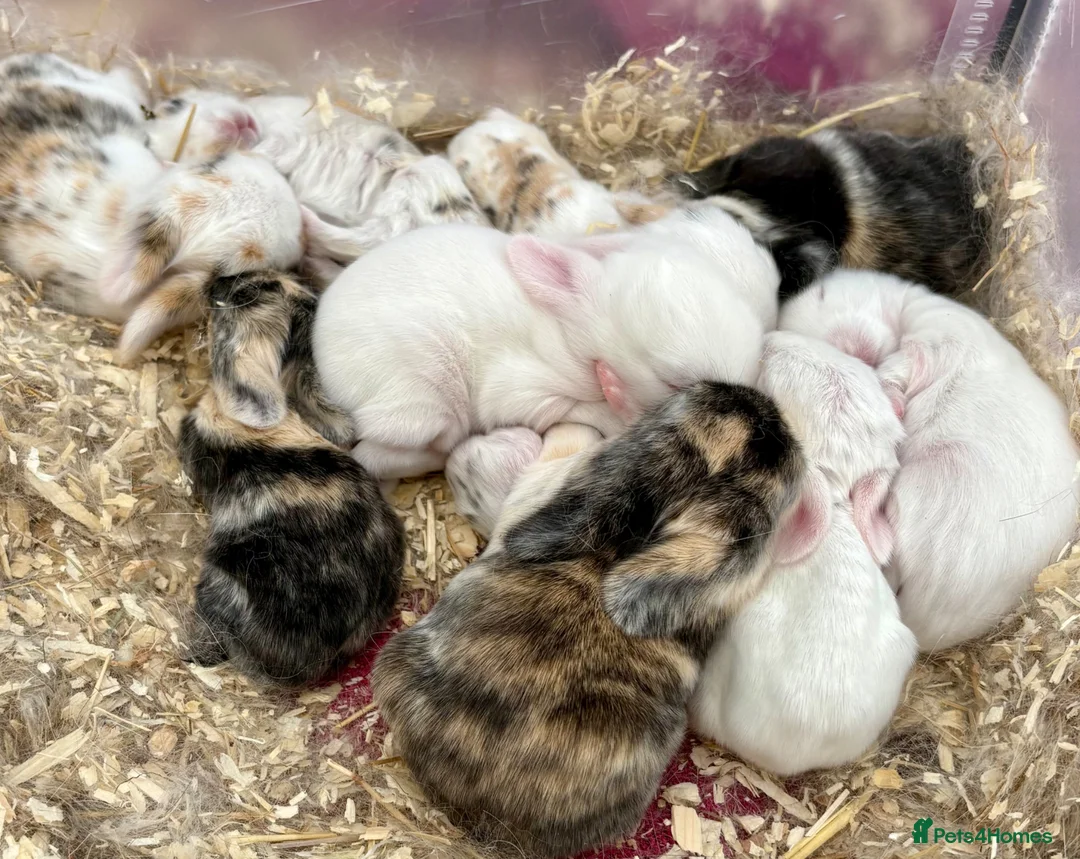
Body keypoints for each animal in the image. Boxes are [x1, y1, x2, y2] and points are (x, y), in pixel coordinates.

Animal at [313, 222, 767, 480]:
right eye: (673, 383)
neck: (571, 336)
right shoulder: (529, 391)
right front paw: (616, 395)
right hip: (424, 400)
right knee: (380, 453)